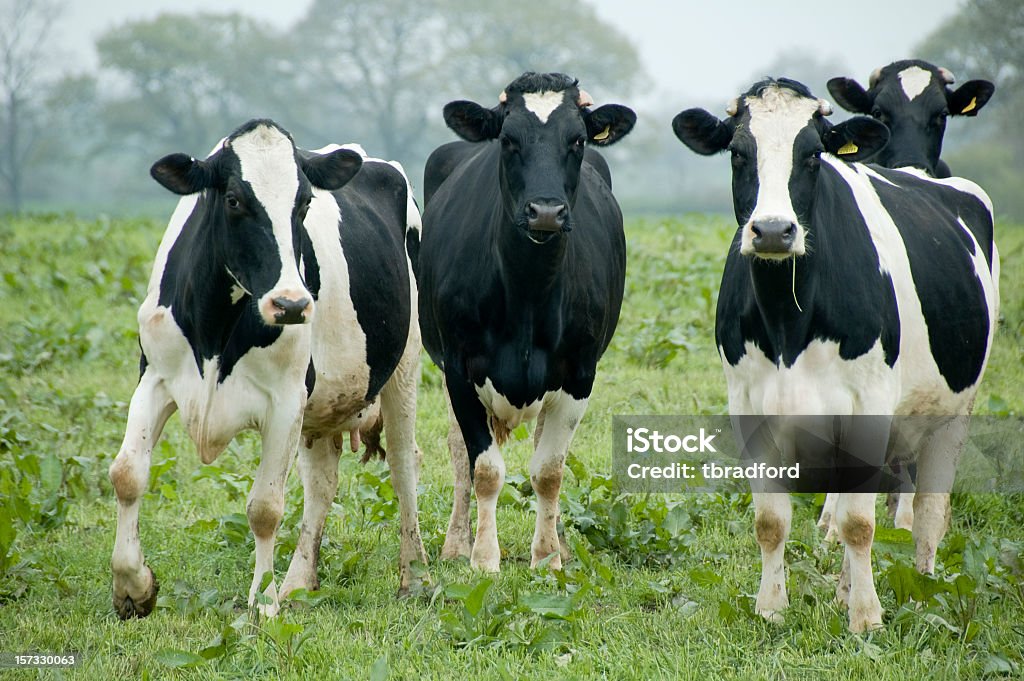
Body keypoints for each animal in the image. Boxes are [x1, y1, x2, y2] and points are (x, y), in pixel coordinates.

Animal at [111, 119, 428, 618]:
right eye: (233, 200)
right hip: (321, 407)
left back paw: (414, 577)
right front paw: (133, 587)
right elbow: (127, 474)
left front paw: (262, 604)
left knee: (402, 463)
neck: (216, 329)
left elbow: (265, 507)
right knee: (322, 483)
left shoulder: (284, 400)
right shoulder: (154, 378)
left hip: (404, 368)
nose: (292, 304)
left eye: (304, 203)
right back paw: (298, 583)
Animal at [415, 73, 630, 573]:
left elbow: (549, 471)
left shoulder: (579, 373)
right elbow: (485, 469)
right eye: (509, 140)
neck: (529, 289)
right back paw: (456, 543)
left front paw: (548, 557)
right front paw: (483, 558)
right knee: (459, 456)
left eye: (577, 140)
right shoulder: (459, 370)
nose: (546, 211)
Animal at [671, 79, 999, 630]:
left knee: (928, 515)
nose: (773, 230)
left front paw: (866, 618)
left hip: (953, 413)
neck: (787, 317)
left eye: (813, 155)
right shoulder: (748, 409)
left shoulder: (868, 407)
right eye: (738, 153)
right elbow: (771, 521)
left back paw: (922, 591)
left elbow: (860, 524)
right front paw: (772, 607)